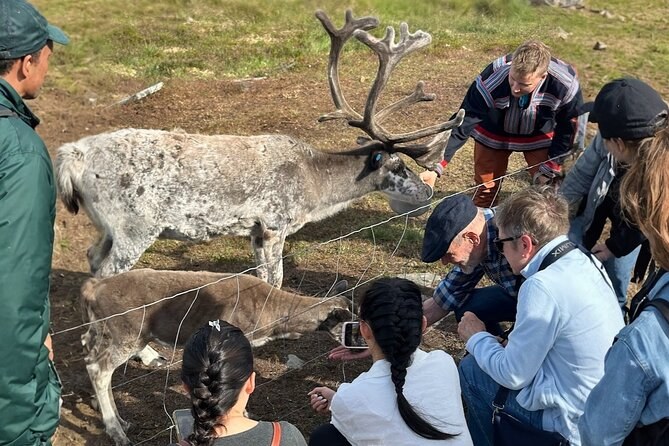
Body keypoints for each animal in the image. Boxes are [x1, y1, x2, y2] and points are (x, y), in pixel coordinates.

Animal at [55, 9, 465, 288]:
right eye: (398, 165)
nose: (427, 191)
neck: (316, 187)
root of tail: (72, 156)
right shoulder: (273, 223)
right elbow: (275, 280)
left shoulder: (253, 231)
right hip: (135, 226)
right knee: (105, 276)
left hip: (107, 227)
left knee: (92, 260)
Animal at [80, 268, 353, 446]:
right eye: (348, 324)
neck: (272, 318)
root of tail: (93, 288)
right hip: (126, 334)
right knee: (99, 369)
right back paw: (117, 432)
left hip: (105, 332)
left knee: (90, 355)